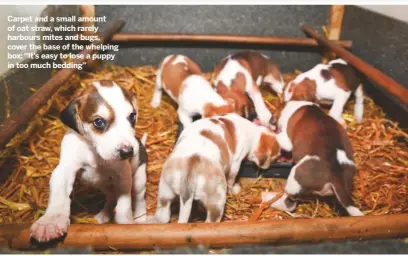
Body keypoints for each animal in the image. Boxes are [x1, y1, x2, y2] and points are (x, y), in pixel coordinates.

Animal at [30, 80, 149, 242]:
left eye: (132, 116)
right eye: (98, 122)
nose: (128, 152)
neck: (93, 151)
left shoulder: (122, 173)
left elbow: (124, 205)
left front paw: (126, 223)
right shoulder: (64, 169)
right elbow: (59, 194)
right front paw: (51, 221)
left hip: (139, 179)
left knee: (139, 197)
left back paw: (140, 217)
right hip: (104, 185)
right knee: (111, 197)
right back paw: (105, 214)